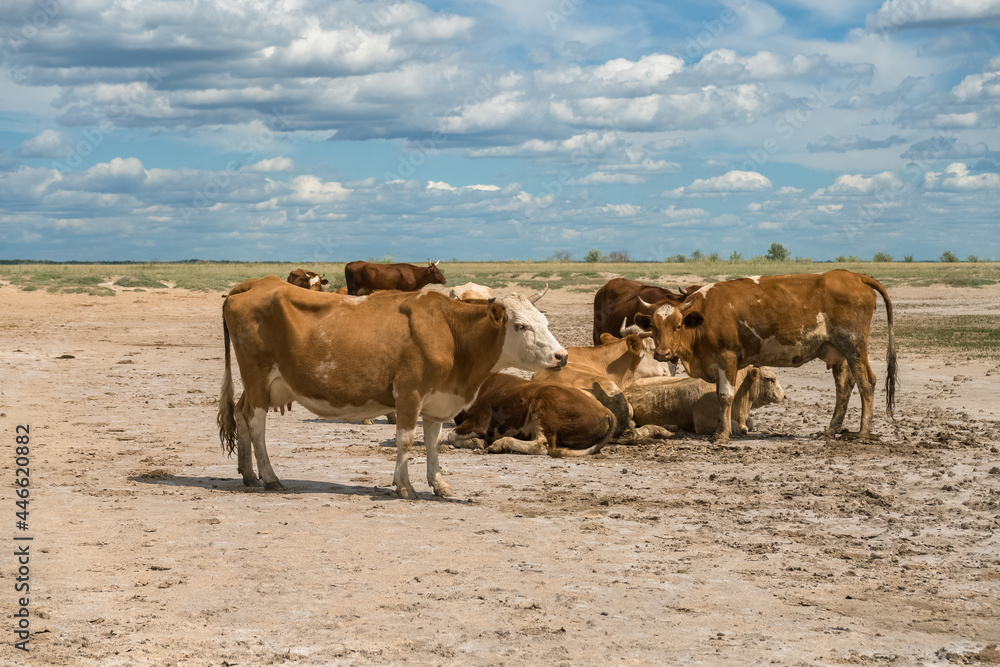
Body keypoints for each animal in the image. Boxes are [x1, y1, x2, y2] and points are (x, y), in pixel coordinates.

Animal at [217, 276, 566, 499]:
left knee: (241, 413)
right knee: (255, 422)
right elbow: (407, 440)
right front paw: (405, 486)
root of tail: (258, 283)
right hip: (258, 374)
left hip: (261, 383)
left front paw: (438, 484)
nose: (561, 356)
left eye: (545, 322)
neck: (450, 333)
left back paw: (249, 474)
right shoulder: (410, 394)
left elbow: (432, 443)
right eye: (520, 326)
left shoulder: (437, 400)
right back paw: (270, 477)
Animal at [447, 373, 616, 457]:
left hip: (544, 402)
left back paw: (501, 444)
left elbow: (451, 435)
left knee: (543, 445)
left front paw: (477, 442)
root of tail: (606, 411)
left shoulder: (478, 422)